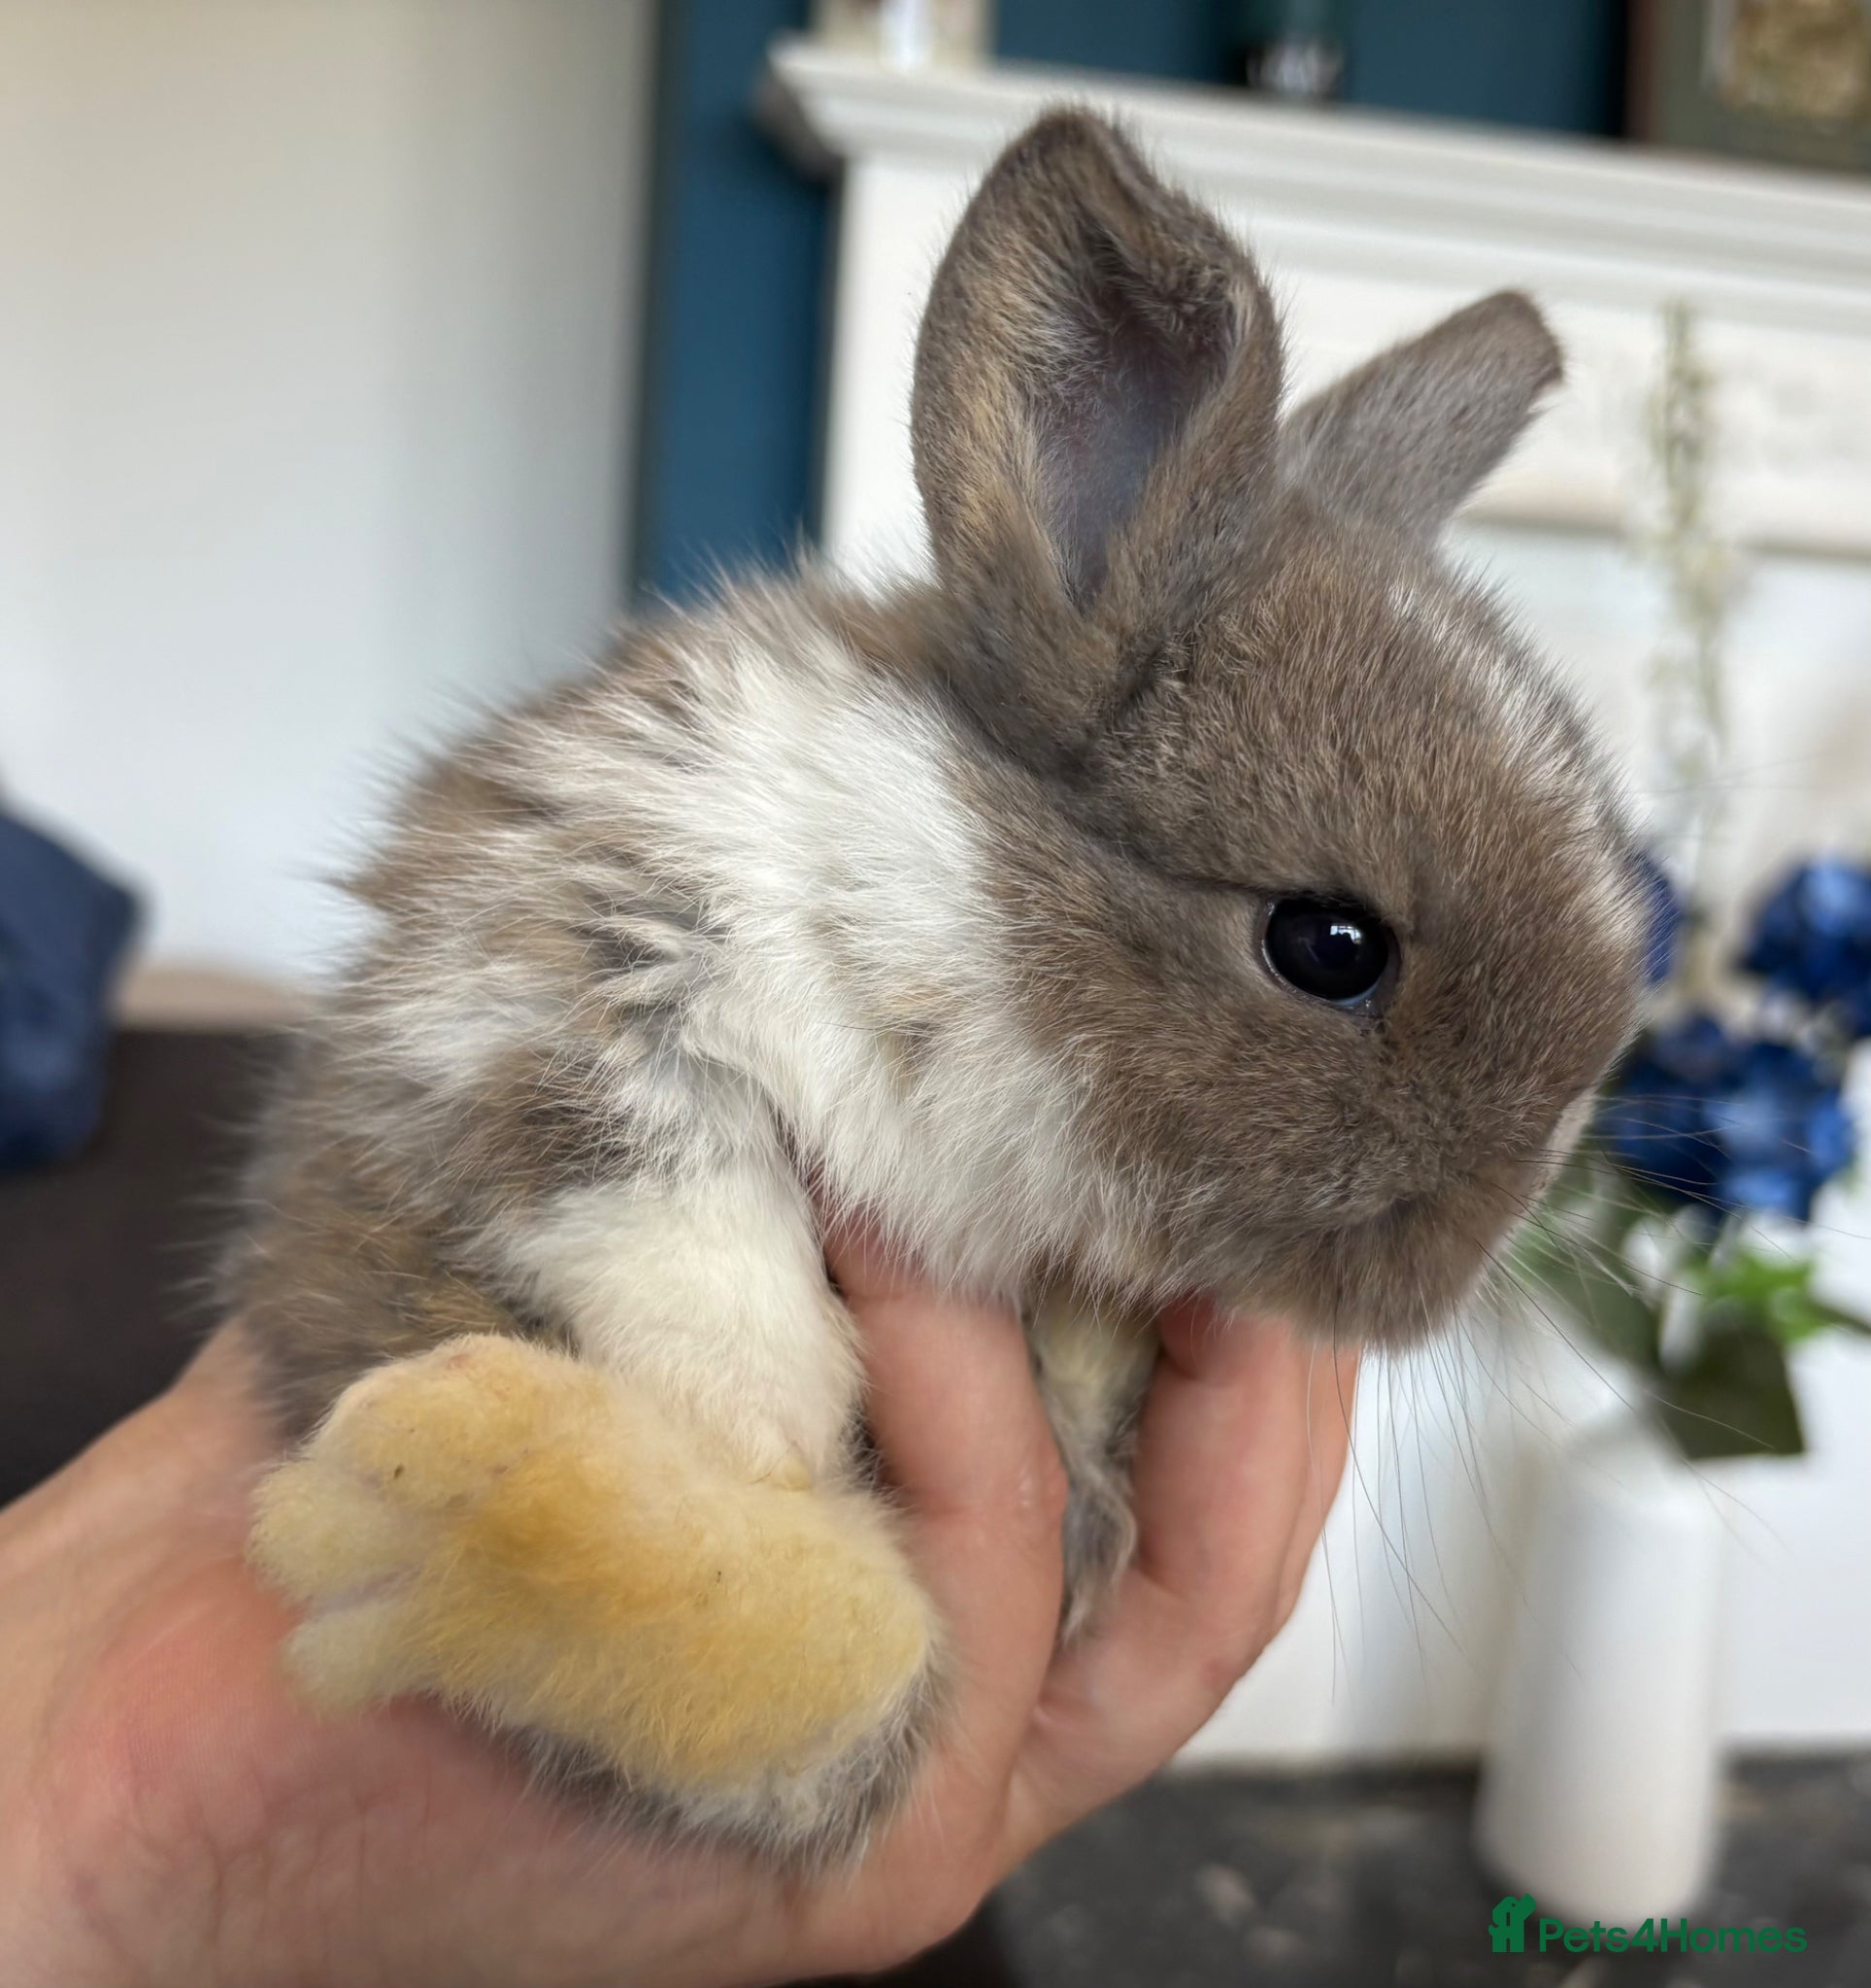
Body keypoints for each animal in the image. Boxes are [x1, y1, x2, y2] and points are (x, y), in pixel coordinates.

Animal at [236, 108, 1648, 1868]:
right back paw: (434, 1490)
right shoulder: (543, 942)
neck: (972, 929)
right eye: (1327, 945)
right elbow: (635, 1165)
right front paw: (761, 1407)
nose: (1445, 1279)